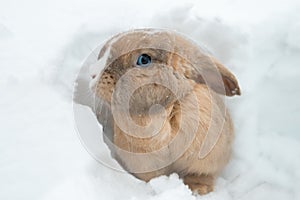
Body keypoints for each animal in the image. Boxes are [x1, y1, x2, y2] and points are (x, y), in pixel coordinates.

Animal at [89, 28, 241, 195]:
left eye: (144, 59)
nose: (93, 75)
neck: (163, 110)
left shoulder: (205, 160)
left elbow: (199, 175)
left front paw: (199, 190)